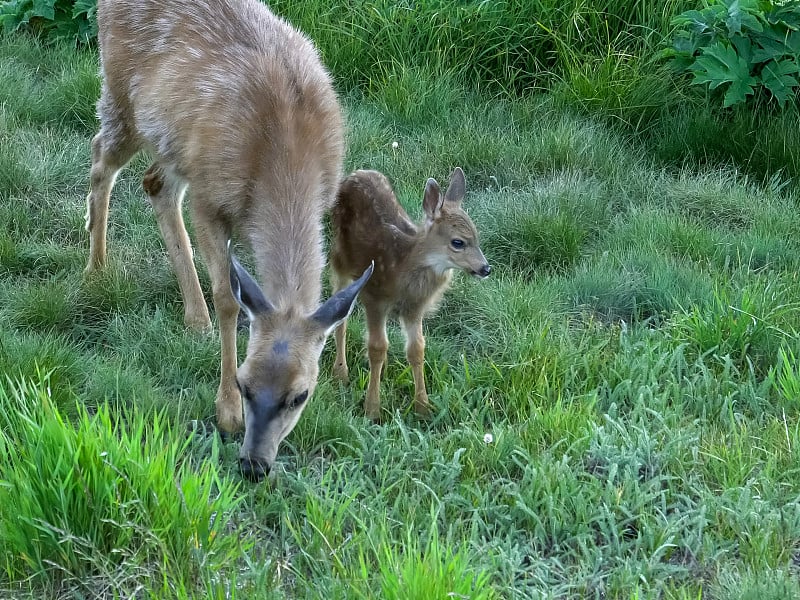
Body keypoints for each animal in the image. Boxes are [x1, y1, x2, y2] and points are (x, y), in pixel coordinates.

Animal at [84, 0, 372, 480]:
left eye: (301, 395)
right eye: (245, 383)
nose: (255, 465)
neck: (283, 156)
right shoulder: (209, 196)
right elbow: (228, 298)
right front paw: (226, 413)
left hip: (174, 143)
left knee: (154, 183)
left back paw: (194, 318)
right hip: (121, 95)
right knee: (100, 157)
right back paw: (96, 268)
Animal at [328, 168, 490, 422]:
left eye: (477, 237)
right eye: (458, 242)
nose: (485, 268)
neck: (403, 266)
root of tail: (356, 173)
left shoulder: (414, 308)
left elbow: (417, 349)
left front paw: (422, 408)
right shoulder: (374, 296)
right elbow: (377, 347)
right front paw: (372, 410)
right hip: (339, 259)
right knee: (340, 317)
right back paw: (341, 373)